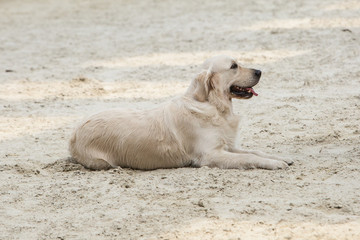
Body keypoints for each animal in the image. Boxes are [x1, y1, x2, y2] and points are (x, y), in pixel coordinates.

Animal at [69, 55, 292, 170]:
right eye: (234, 66)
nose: (259, 71)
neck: (213, 106)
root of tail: (74, 133)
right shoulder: (211, 155)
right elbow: (248, 158)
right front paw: (274, 163)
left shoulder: (227, 146)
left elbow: (254, 152)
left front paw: (280, 157)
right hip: (102, 162)